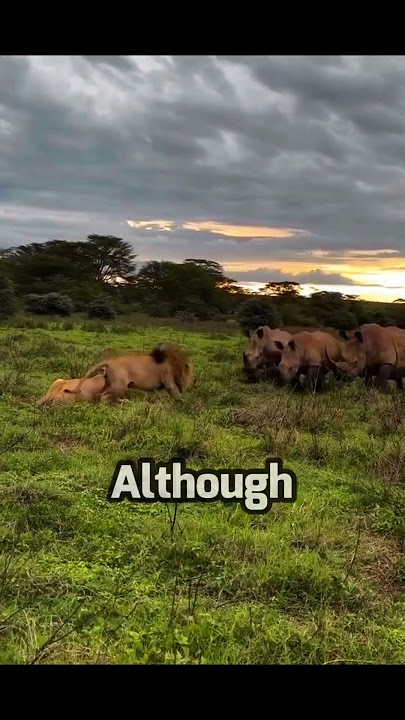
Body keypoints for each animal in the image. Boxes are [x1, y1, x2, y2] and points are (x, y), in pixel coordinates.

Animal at [64, 341, 193, 403]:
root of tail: (110, 361)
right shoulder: (168, 379)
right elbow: (176, 393)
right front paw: (184, 402)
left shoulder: (151, 390)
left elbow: (151, 397)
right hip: (119, 386)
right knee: (103, 396)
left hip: (110, 383)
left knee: (100, 394)